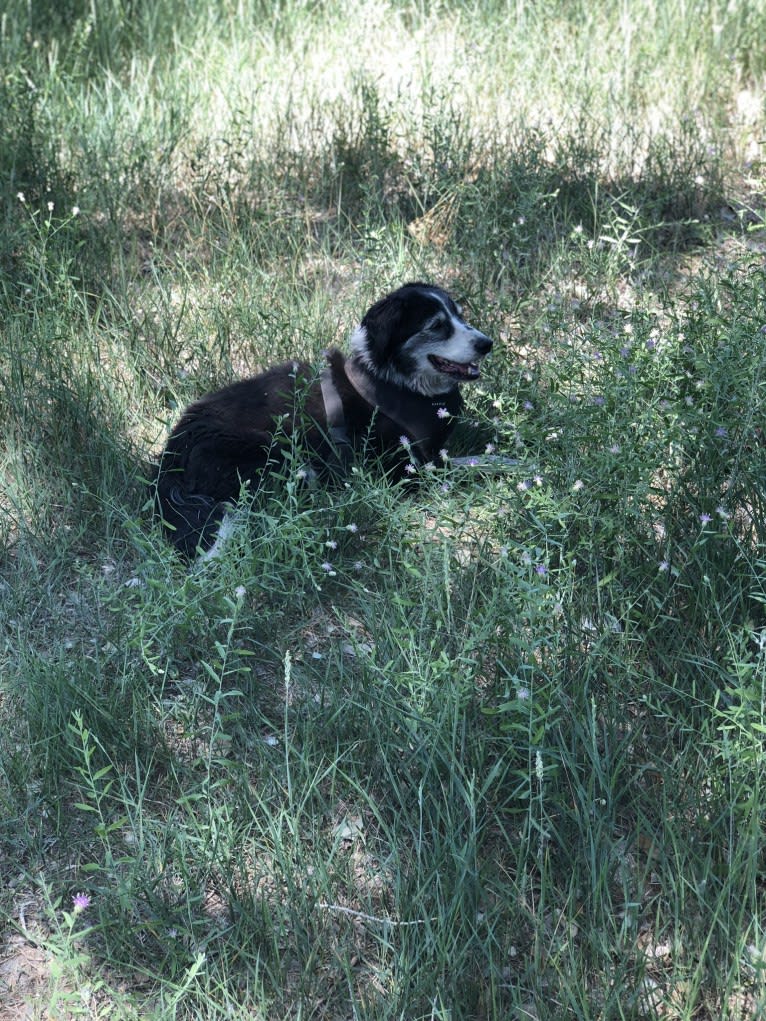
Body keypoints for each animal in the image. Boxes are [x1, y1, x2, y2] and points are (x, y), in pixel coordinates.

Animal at [154, 281, 494, 559]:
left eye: (459, 316)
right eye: (436, 326)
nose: (487, 343)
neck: (393, 381)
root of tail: (170, 460)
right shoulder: (408, 470)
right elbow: (477, 465)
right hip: (283, 457)